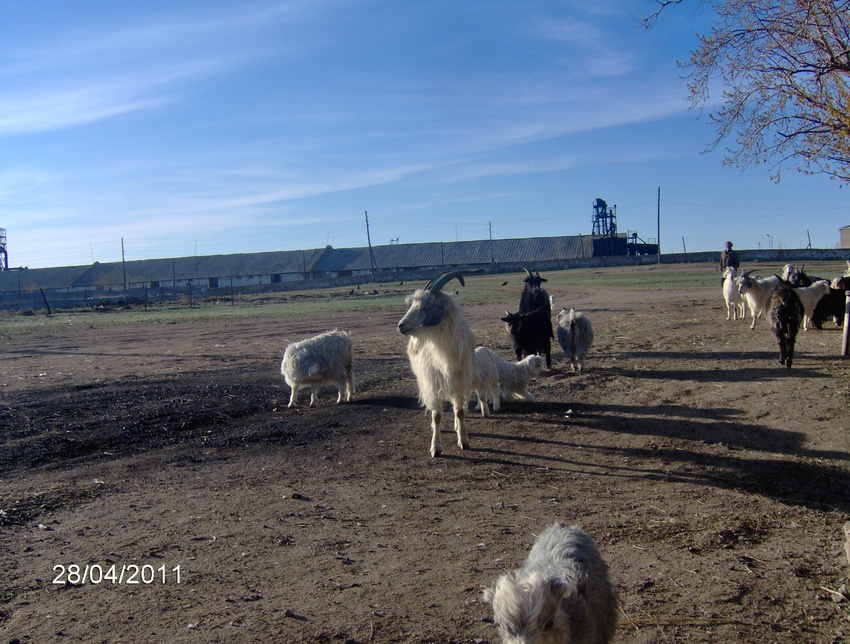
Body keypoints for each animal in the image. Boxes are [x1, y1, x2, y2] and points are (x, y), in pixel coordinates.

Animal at [398, 270, 480, 457]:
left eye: (427, 307)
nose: (401, 325)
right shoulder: (432, 382)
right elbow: (437, 416)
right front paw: (435, 448)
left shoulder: (459, 381)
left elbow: (460, 411)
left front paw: (464, 440)